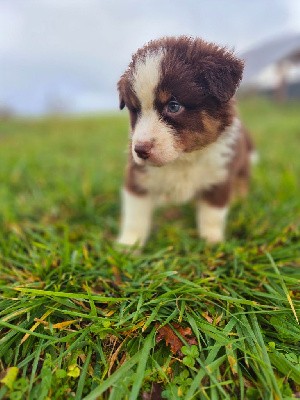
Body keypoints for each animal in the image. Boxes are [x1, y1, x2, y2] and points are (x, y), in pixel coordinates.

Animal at [117, 36, 253, 247]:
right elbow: (135, 215)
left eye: (174, 106)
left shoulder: (220, 177)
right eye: (135, 110)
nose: (140, 150)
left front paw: (212, 242)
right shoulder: (137, 177)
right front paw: (129, 244)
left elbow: (212, 214)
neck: (183, 159)